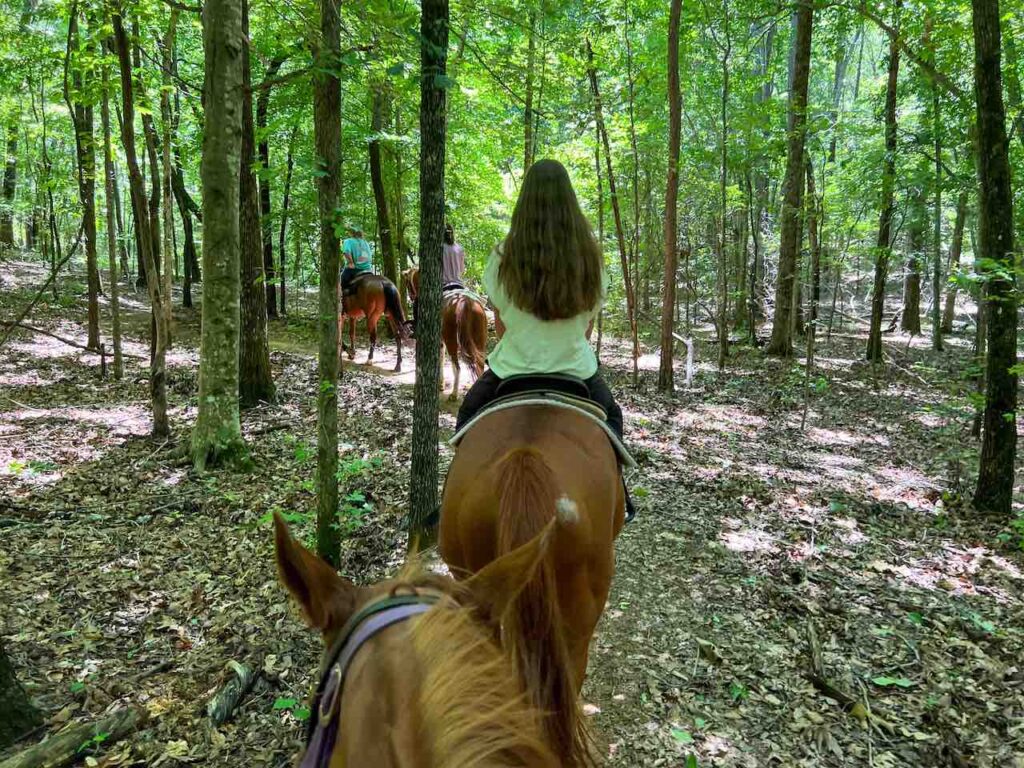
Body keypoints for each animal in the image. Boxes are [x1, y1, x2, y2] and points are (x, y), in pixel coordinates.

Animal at [399, 268, 487, 403]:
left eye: (408, 283)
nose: (412, 297)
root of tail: (465, 302)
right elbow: (441, 358)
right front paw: (441, 383)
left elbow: (440, 358)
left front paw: (440, 384)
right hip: (479, 340)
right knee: (480, 365)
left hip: (452, 341)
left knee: (457, 367)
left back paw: (454, 394)